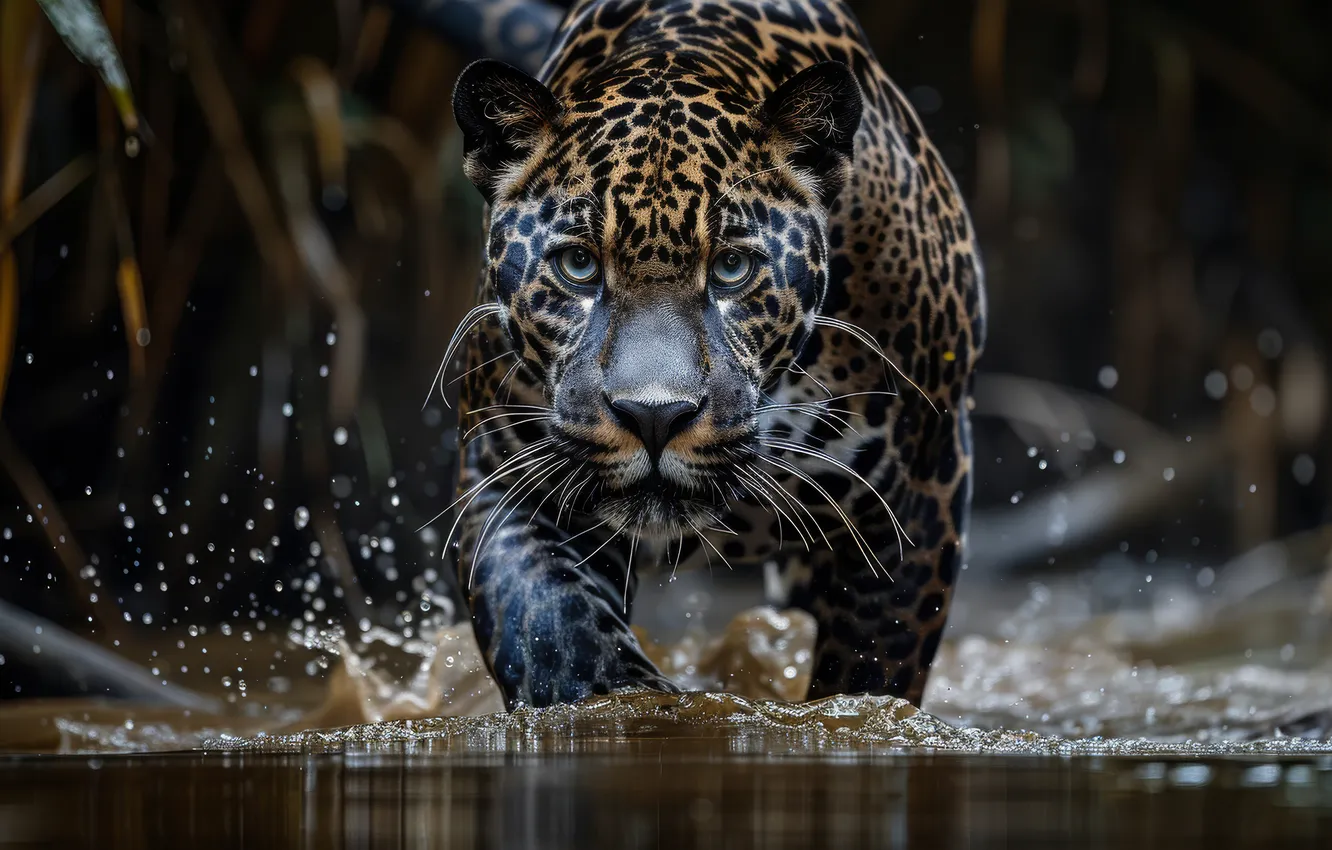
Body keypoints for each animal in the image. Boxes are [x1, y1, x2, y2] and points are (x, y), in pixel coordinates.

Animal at [443, 0, 986, 710]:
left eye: (732, 268)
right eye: (578, 265)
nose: (654, 417)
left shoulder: (914, 500)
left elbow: (871, 680)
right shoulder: (506, 478)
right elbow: (554, 630)